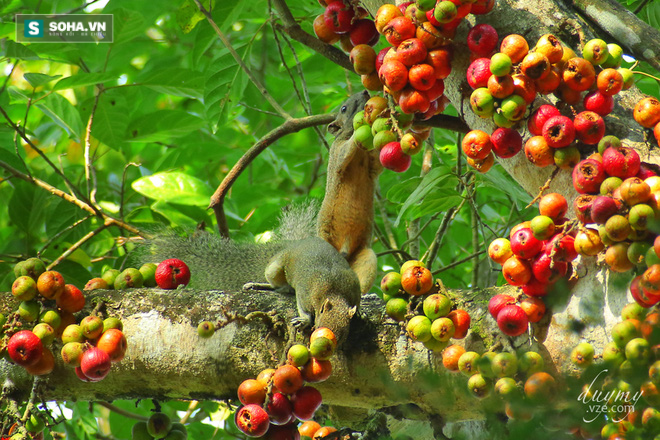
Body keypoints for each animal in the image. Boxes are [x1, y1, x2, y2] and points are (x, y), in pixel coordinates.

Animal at [320, 89, 382, 294]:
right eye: (343, 108)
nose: (365, 91)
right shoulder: (336, 152)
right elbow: (343, 154)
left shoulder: (372, 162)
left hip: (364, 256)